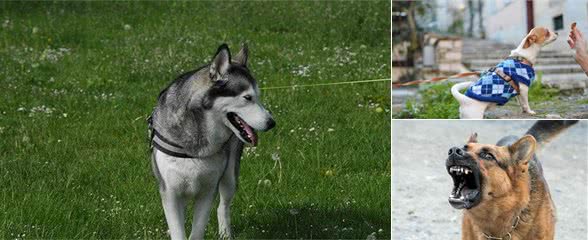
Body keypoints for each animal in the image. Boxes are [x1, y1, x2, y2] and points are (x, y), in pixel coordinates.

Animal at [147, 43, 276, 240]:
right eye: (247, 97)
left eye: (259, 96)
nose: (271, 123)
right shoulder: (170, 192)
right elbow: (178, 231)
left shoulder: (208, 192)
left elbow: (197, 231)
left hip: (230, 176)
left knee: (223, 206)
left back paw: (225, 233)